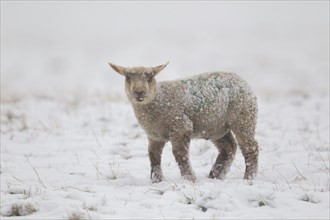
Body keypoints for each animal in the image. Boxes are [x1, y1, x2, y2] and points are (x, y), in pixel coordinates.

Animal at [109, 62, 260, 182]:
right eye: (128, 78)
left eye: (150, 78)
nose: (139, 92)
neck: (158, 100)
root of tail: (243, 81)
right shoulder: (155, 134)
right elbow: (153, 155)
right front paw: (157, 180)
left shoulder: (180, 126)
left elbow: (180, 154)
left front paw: (189, 179)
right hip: (217, 126)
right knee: (229, 148)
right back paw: (215, 175)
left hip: (243, 116)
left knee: (250, 147)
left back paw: (249, 177)